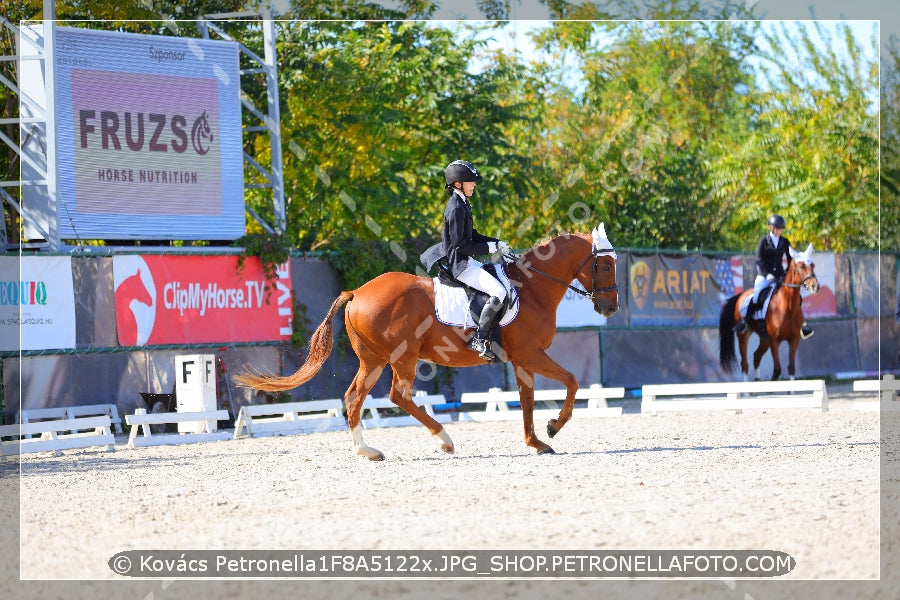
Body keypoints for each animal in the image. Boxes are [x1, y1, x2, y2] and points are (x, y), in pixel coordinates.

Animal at [234, 225, 620, 460]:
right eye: (605, 266)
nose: (610, 307)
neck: (533, 289)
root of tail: (357, 291)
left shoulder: (522, 359)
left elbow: (527, 400)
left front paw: (536, 442)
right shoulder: (531, 353)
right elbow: (571, 381)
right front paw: (554, 427)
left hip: (373, 360)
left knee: (354, 397)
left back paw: (367, 451)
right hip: (402, 357)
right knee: (398, 396)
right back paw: (444, 439)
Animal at [720, 245, 820, 380]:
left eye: (813, 265)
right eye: (801, 267)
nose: (815, 287)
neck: (788, 308)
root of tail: (741, 295)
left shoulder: (794, 340)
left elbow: (791, 368)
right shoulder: (774, 341)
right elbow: (777, 370)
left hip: (764, 339)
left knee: (756, 356)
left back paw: (756, 384)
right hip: (744, 335)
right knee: (745, 364)